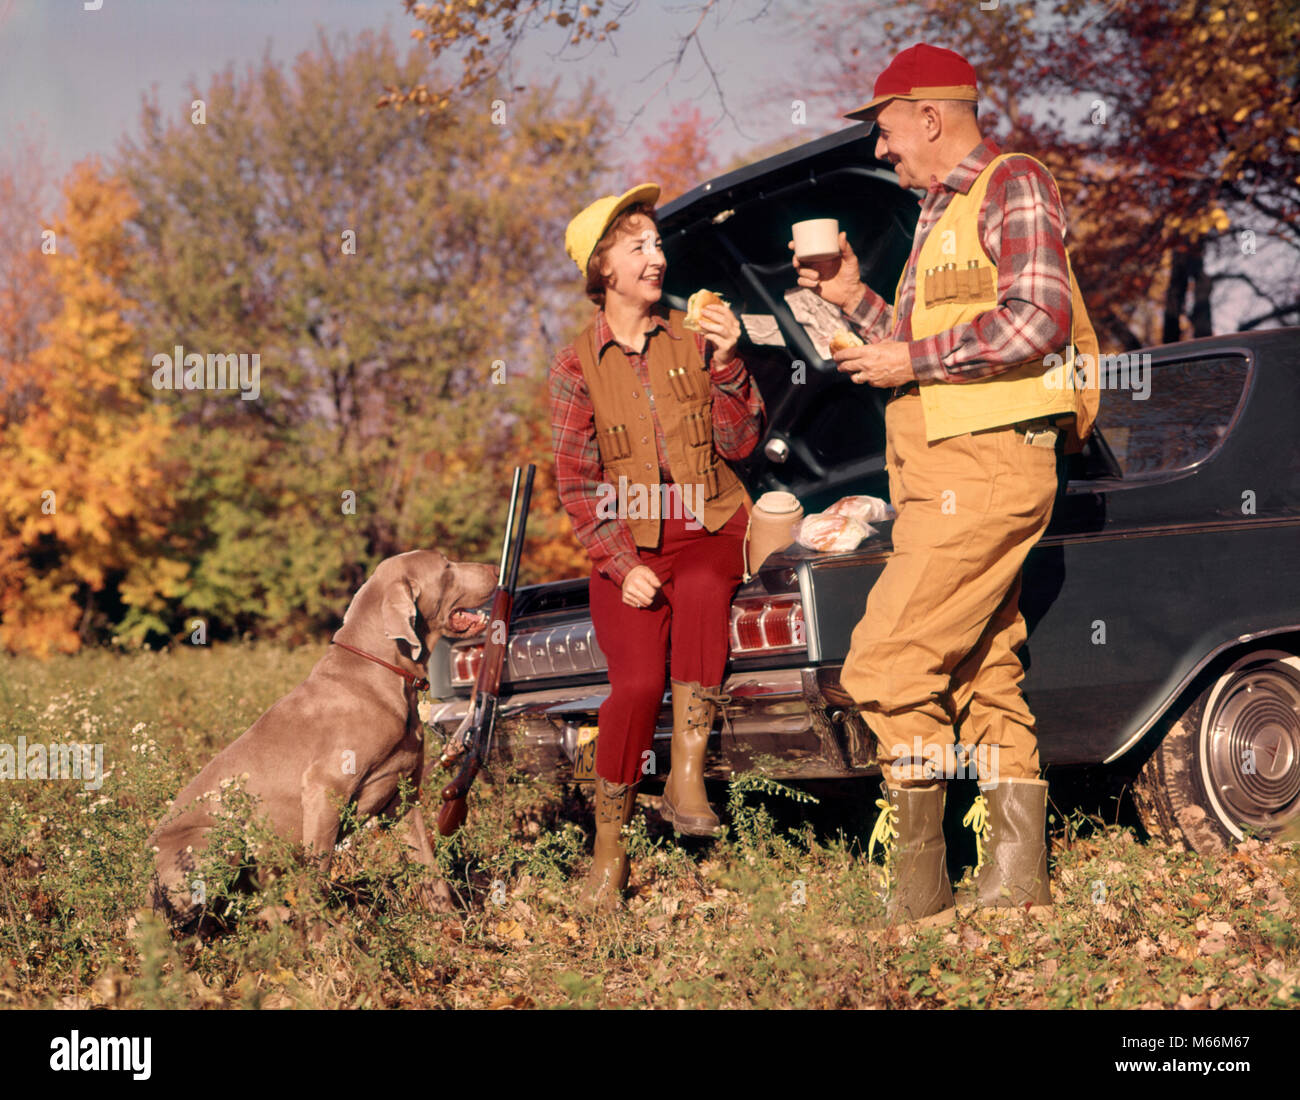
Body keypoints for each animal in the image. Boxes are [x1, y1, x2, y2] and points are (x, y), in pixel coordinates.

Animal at [147, 551, 496, 930]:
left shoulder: (402, 799)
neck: (380, 673)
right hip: (215, 841)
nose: (495, 568)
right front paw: (325, 939)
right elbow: (317, 877)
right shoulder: (324, 789)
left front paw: (452, 926)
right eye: (446, 567)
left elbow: (429, 867)